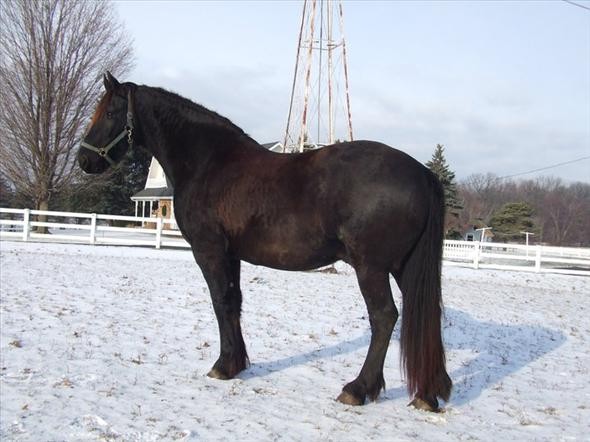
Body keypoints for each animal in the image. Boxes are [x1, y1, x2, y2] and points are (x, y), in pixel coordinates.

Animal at [78, 72, 454, 410]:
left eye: (110, 113)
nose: (84, 159)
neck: (209, 162)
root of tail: (421, 173)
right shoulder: (231, 255)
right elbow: (234, 302)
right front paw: (236, 363)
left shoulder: (209, 251)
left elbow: (220, 302)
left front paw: (223, 366)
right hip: (404, 267)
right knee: (426, 316)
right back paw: (428, 394)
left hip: (371, 268)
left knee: (384, 317)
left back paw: (358, 389)